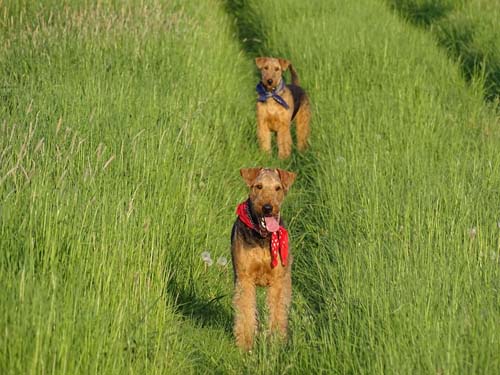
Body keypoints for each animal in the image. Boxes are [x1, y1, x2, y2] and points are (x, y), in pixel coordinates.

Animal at [231, 168, 296, 352]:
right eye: (258, 186)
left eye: (278, 188)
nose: (268, 208)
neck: (263, 236)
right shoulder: (245, 278)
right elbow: (245, 311)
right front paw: (246, 344)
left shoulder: (277, 281)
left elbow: (277, 312)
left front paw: (276, 342)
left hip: (286, 279)